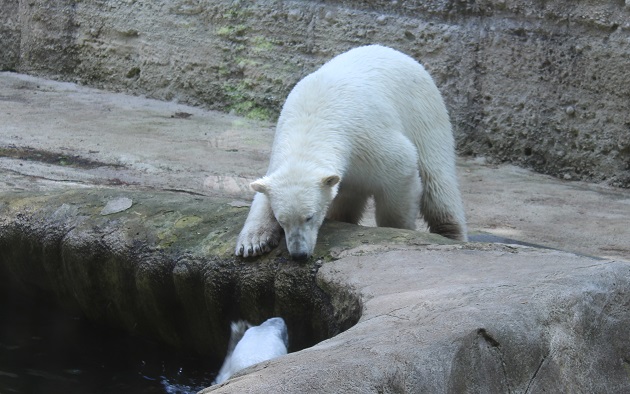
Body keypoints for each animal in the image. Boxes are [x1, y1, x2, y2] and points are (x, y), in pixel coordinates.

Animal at [237, 44, 470, 260]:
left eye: (310, 217)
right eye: (282, 220)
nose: (299, 254)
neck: (311, 123)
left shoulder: (367, 138)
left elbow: (402, 168)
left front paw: (399, 231)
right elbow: (266, 189)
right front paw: (253, 243)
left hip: (423, 113)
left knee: (437, 180)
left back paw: (451, 235)